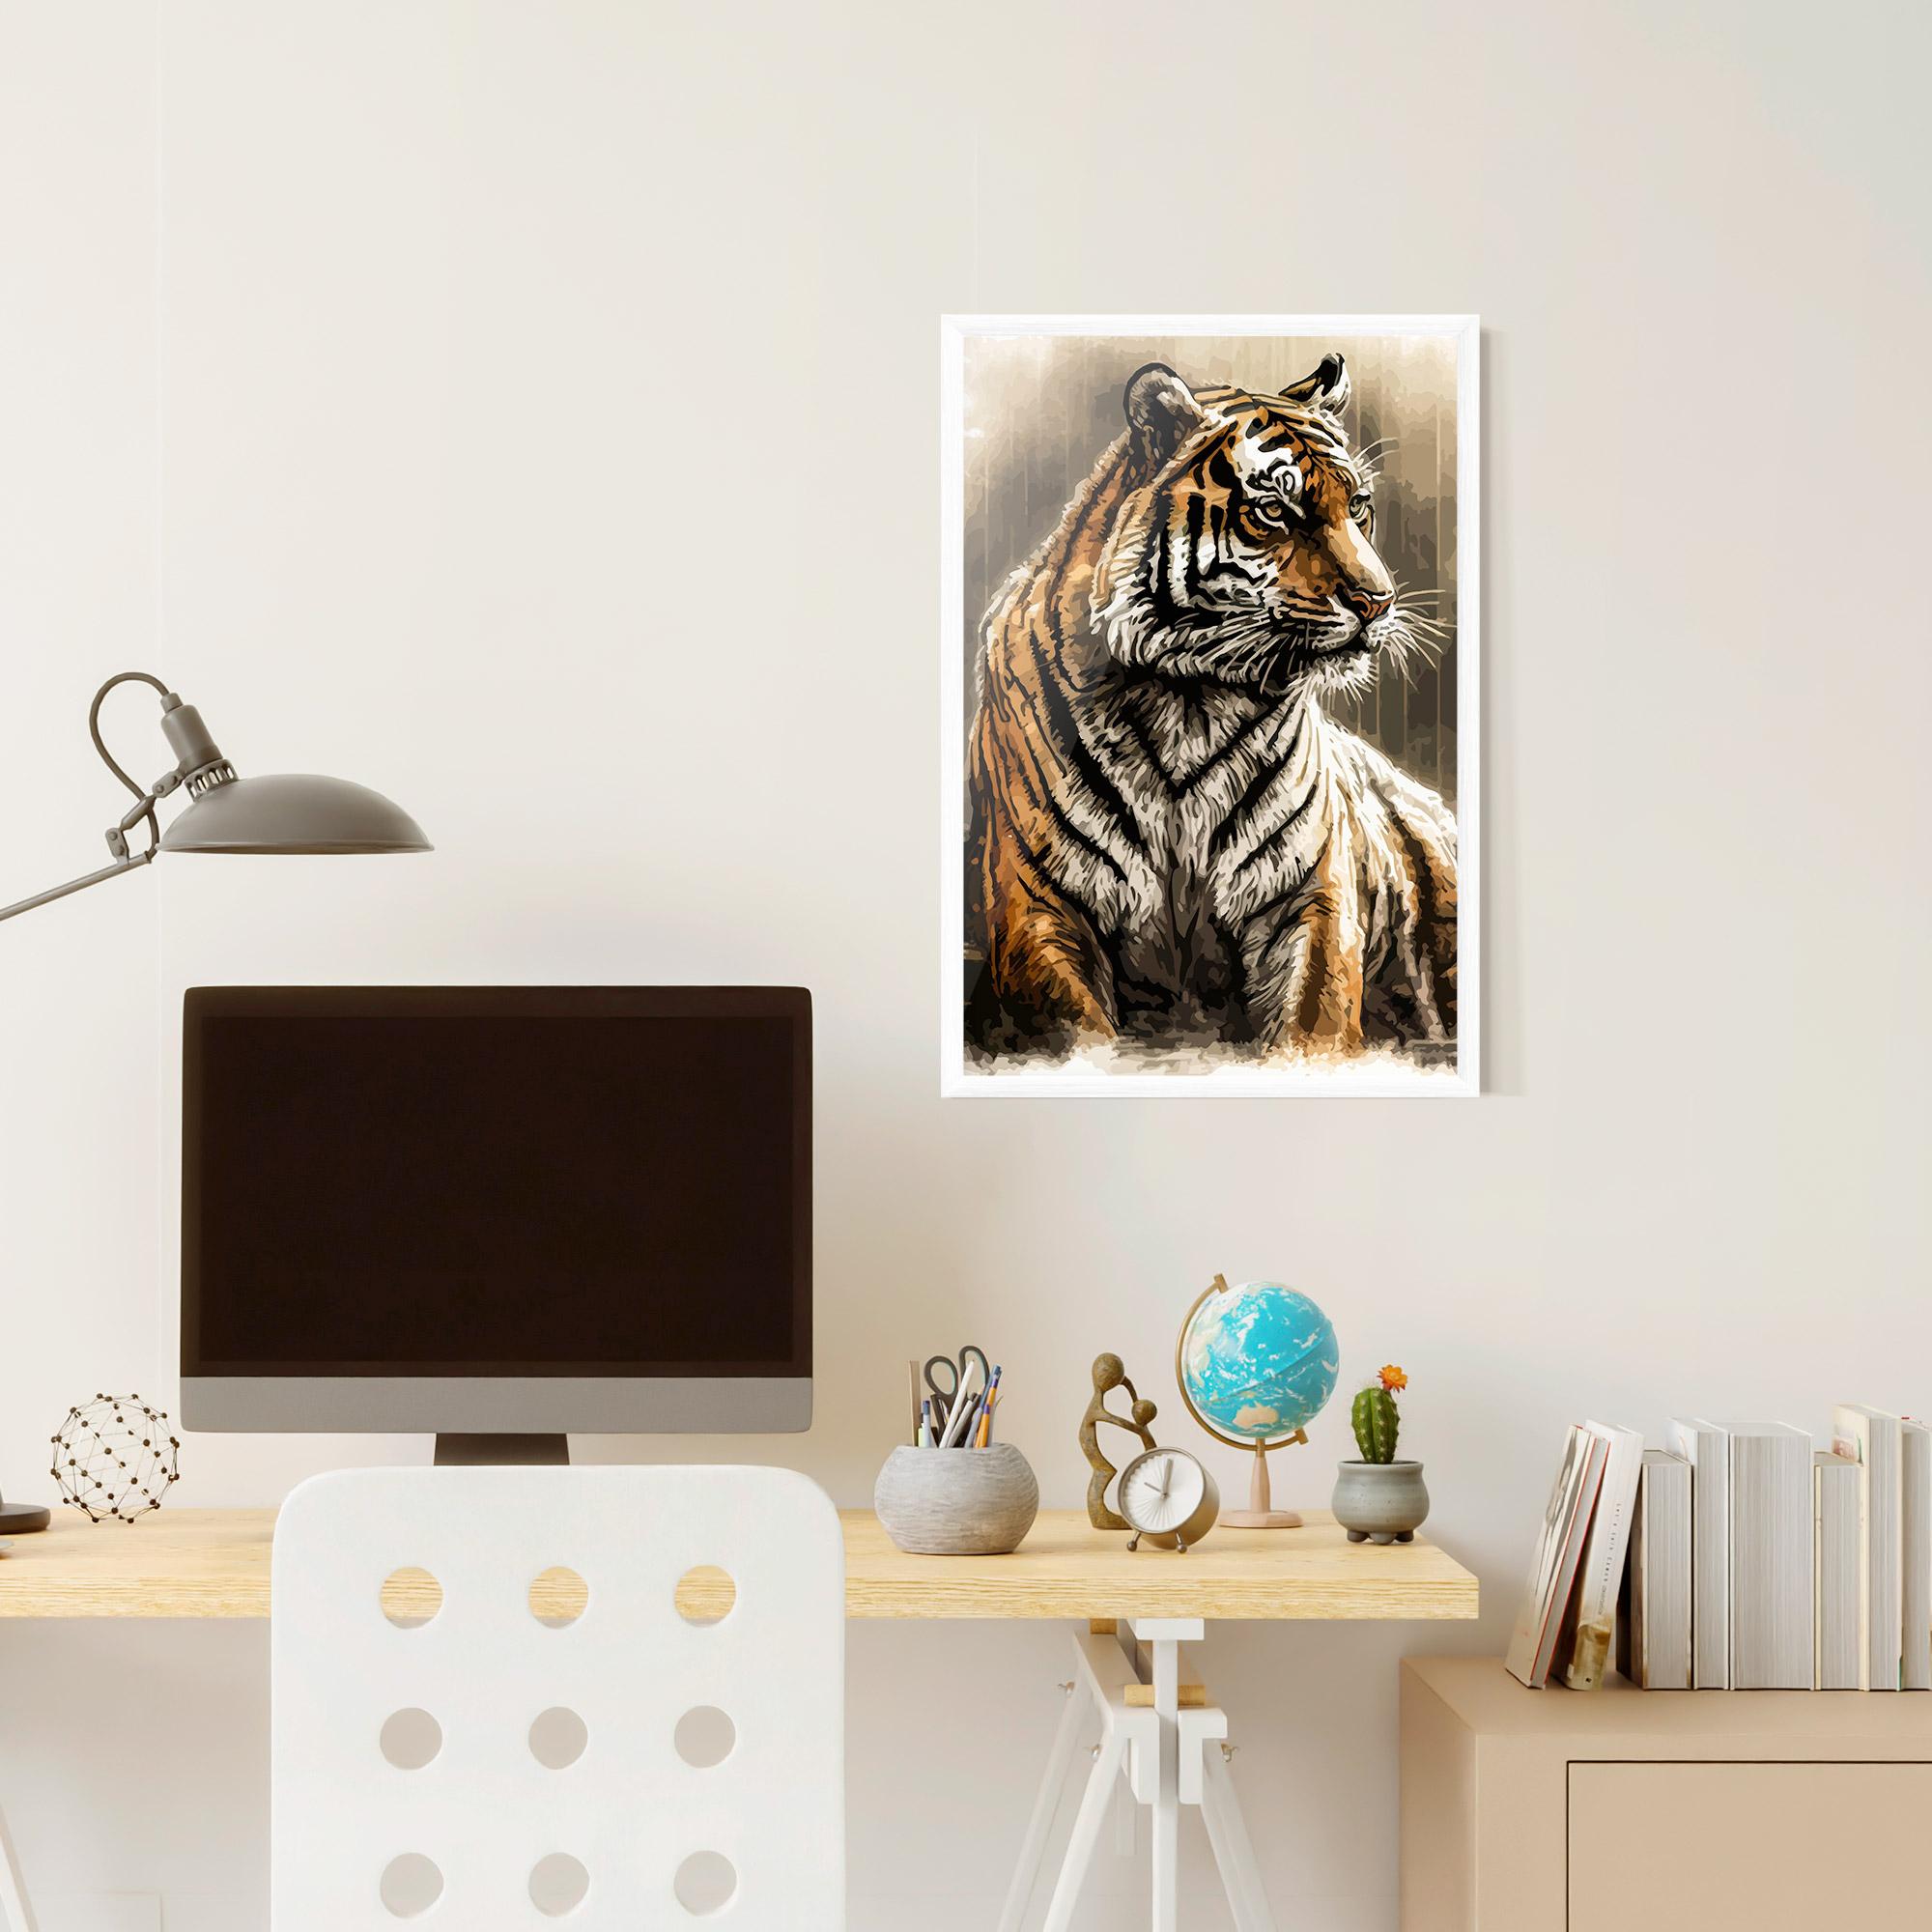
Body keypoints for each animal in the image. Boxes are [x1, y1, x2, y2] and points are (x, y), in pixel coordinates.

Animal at [964, 353, 1456, 1064]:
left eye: (1358, 506)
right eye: (1274, 510)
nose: (1378, 600)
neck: (1188, 700)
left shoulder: (1311, 898)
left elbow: (1311, 1026)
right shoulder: (1039, 906)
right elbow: (1081, 1037)